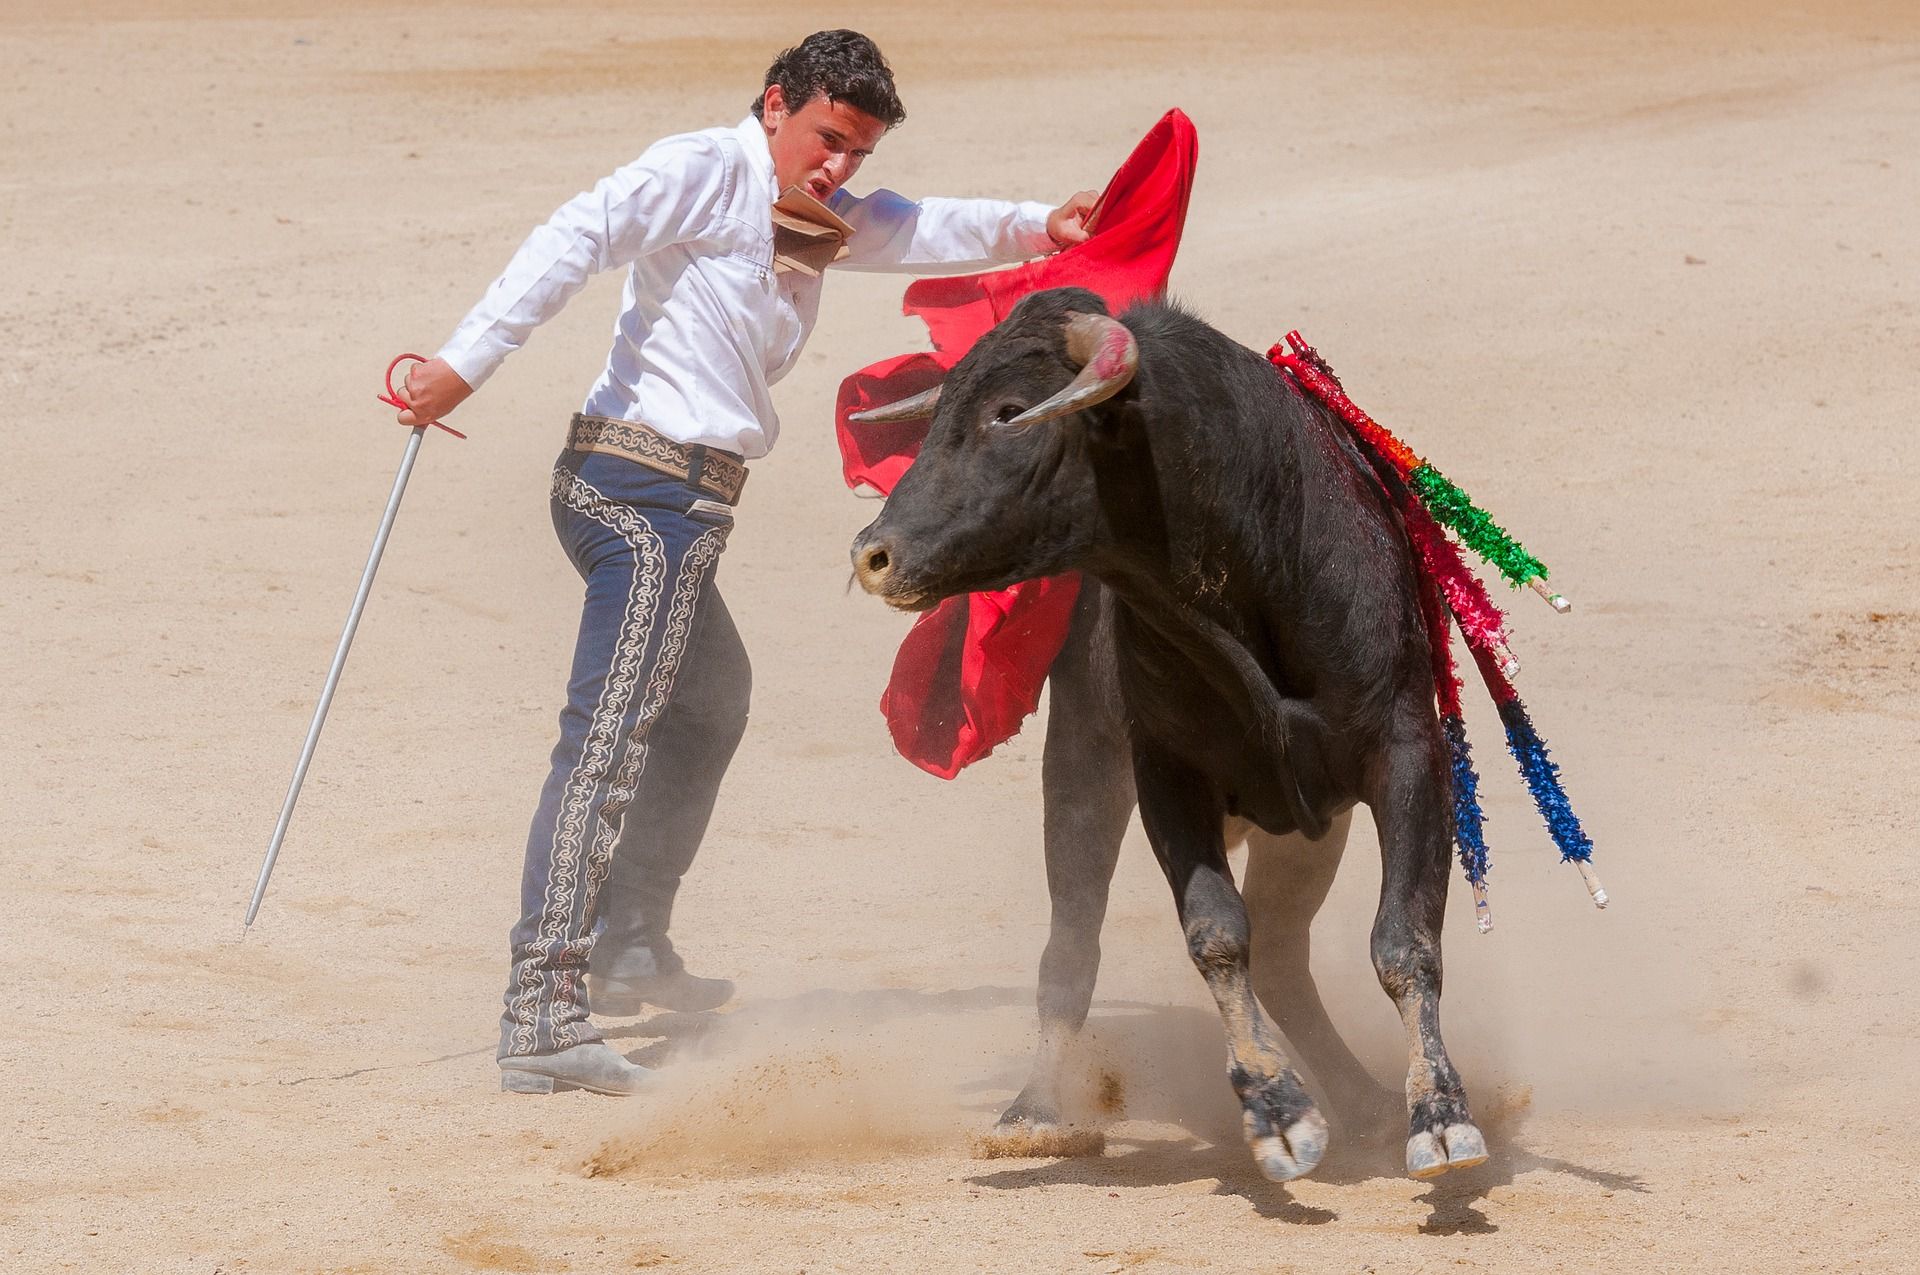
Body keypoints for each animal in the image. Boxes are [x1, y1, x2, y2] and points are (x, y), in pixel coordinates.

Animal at [848, 284, 1489, 1182]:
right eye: (939, 410)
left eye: (1009, 412)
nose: (872, 554)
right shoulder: (1166, 773)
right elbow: (1216, 931)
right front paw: (1276, 1112)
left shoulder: (1406, 753)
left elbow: (1404, 939)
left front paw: (1440, 1117)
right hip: (1084, 765)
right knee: (1074, 948)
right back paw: (1033, 1110)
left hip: (1306, 828)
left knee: (1284, 954)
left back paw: (1365, 1102)